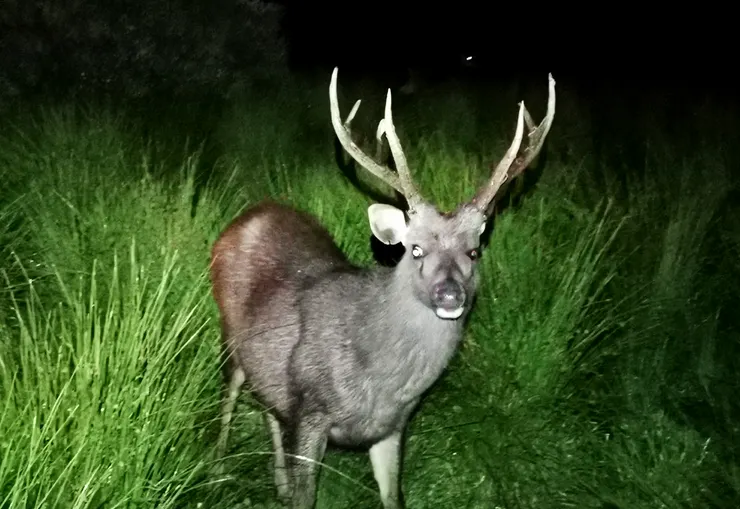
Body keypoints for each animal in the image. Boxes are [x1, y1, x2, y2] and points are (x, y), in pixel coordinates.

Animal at [210, 67, 555, 509]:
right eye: (415, 249)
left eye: (474, 251)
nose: (450, 295)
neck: (380, 383)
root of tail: (247, 216)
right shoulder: (309, 410)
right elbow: (308, 497)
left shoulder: (393, 426)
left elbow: (394, 496)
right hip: (229, 333)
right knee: (229, 397)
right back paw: (219, 468)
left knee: (268, 405)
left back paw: (278, 484)